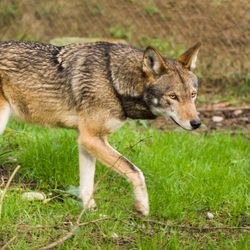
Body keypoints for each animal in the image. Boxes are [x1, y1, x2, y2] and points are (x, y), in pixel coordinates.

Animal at [0, 40, 200, 215]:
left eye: (193, 95)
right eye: (173, 96)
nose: (197, 123)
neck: (113, 81)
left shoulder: (87, 141)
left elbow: (87, 186)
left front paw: (90, 212)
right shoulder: (90, 138)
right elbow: (136, 171)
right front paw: (142, 207)